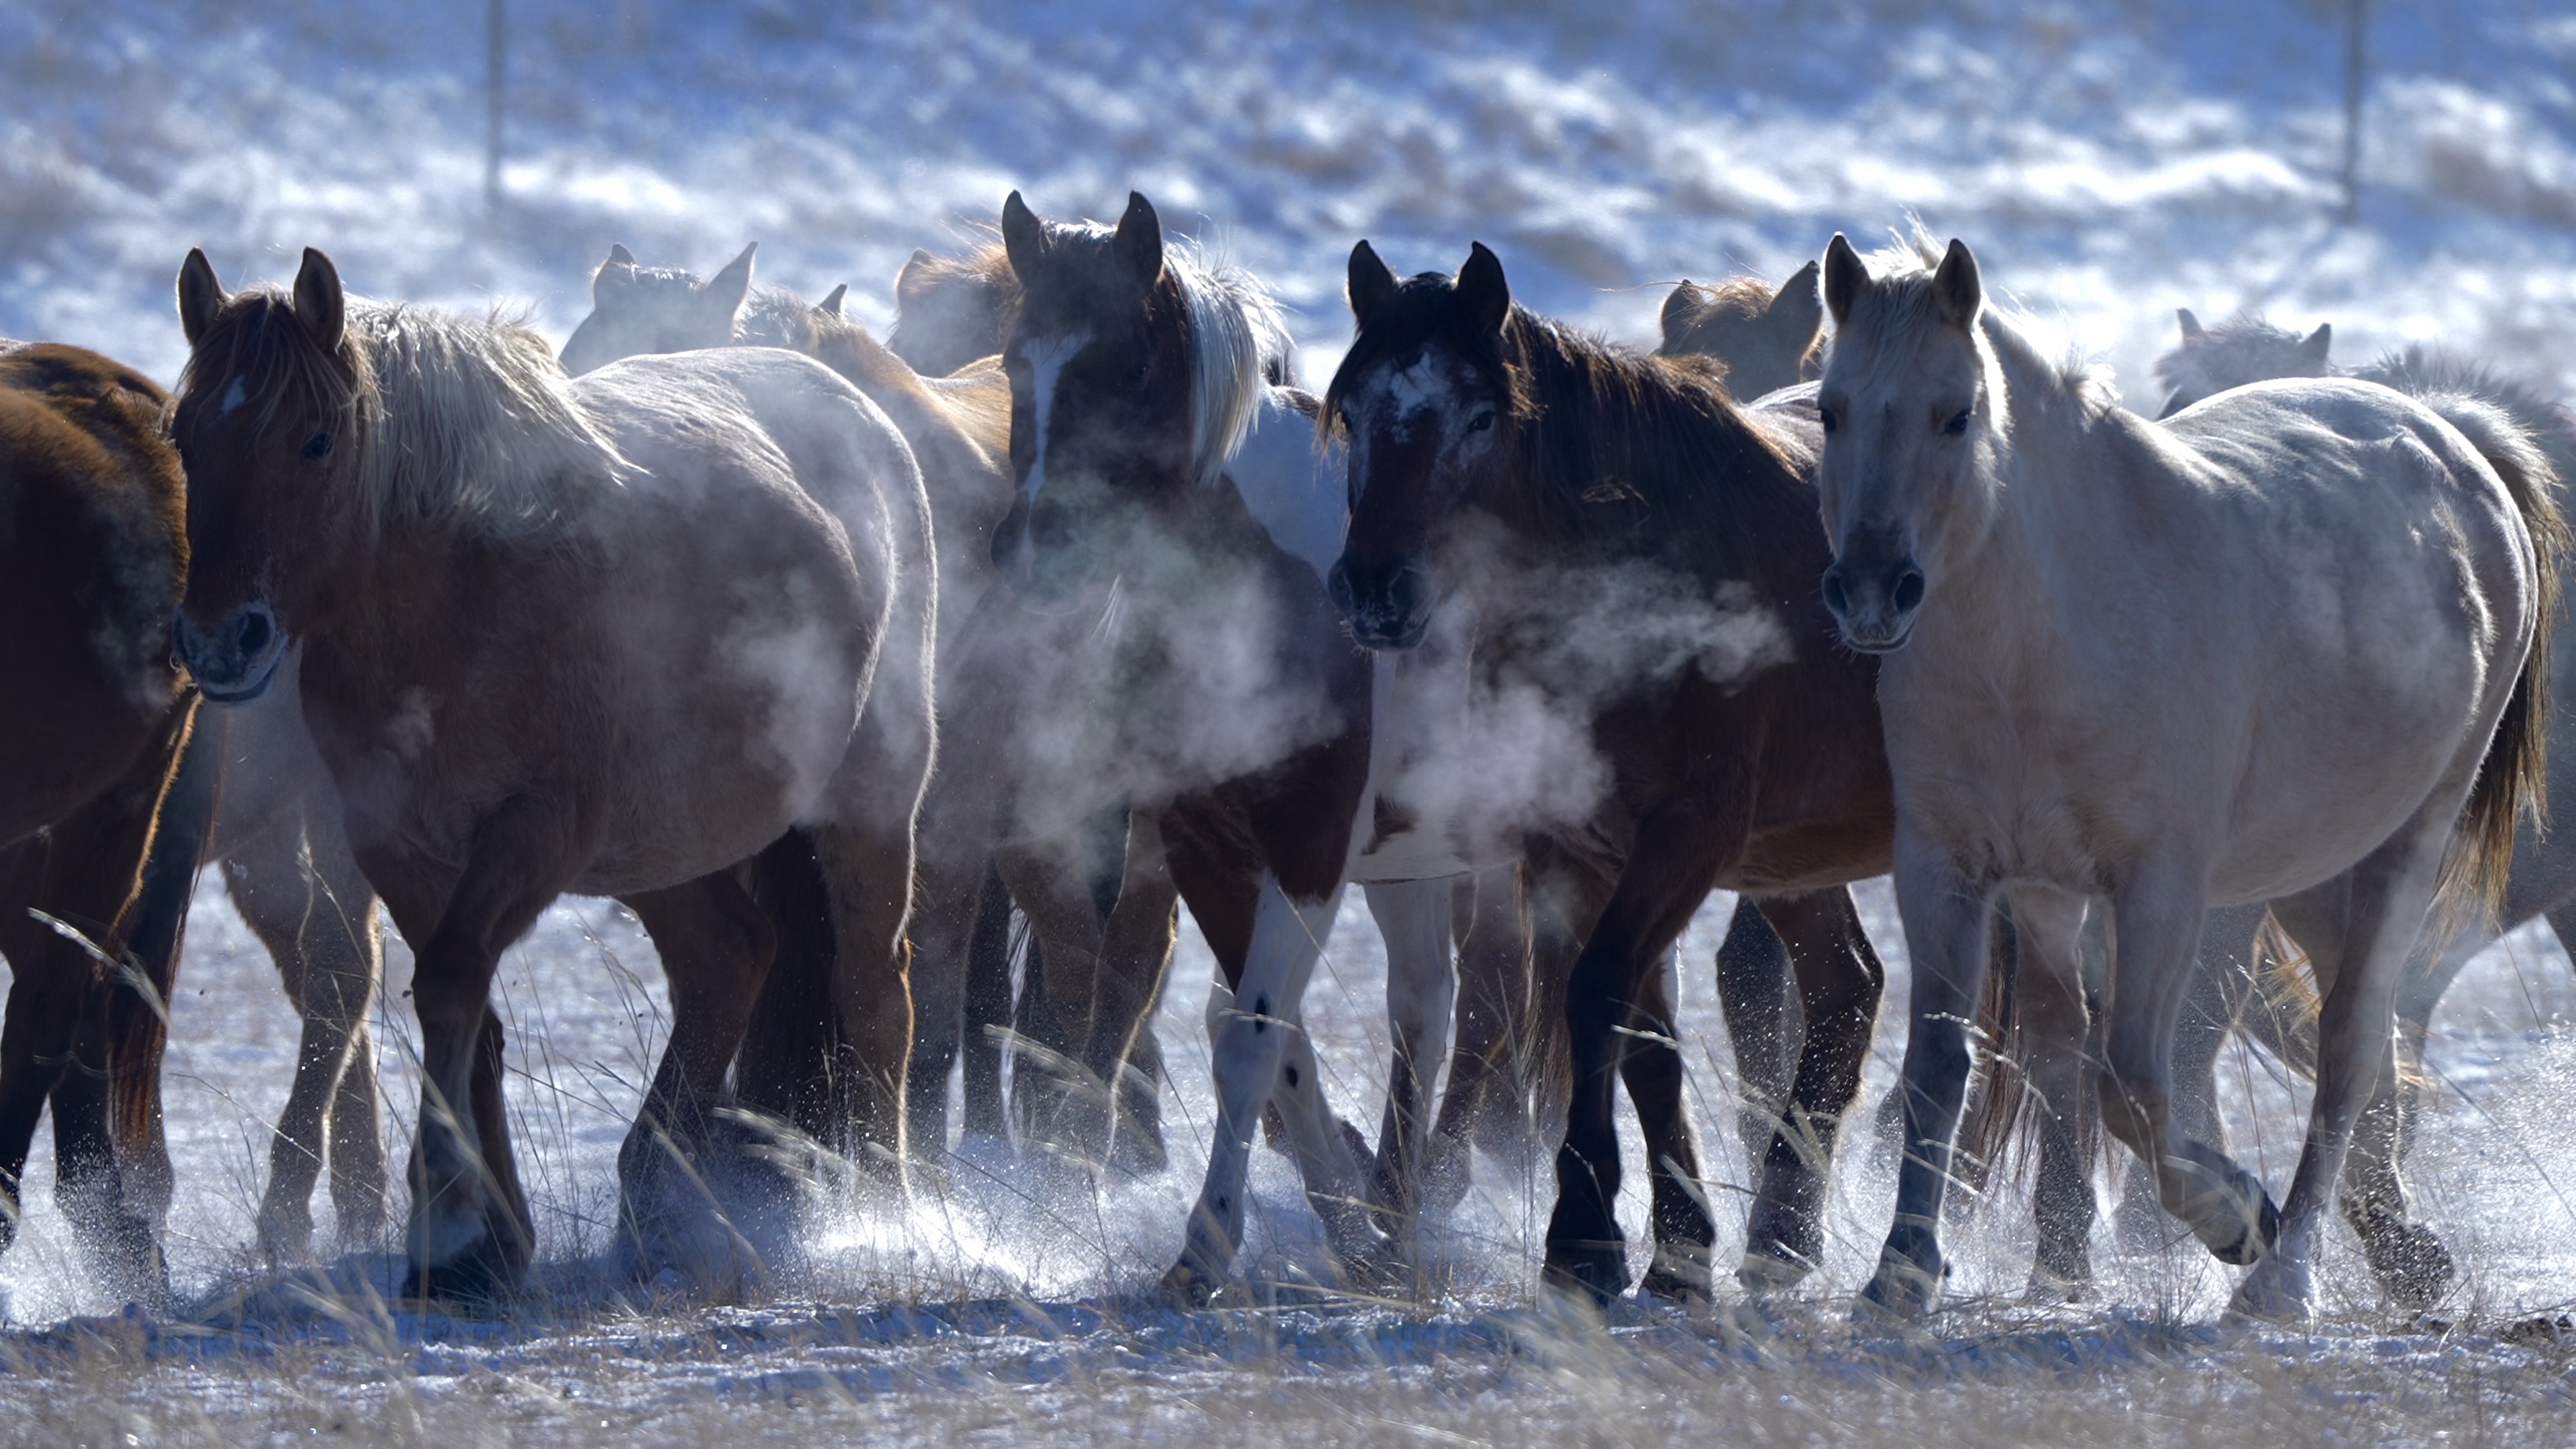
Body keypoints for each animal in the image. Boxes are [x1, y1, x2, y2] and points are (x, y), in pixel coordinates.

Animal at [169, 248, 936, 1300]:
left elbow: (453, 983)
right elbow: (467, 1009)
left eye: (314, 442)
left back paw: (887, 1212)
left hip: (868, 804)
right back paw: (652, 1196)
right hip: (664, 844)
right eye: (185, 438)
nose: (220, 639)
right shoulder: (399, 843)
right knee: (728, 956)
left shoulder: (530, 830)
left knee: (872, 990)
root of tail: (861, 415)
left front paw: (450, 1231)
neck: (457, 593)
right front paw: (490, 1239)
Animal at [1815, 231, 2558, 1321]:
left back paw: (2284, 1277)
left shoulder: (2162, 884)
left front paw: (2234, 1216)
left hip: (2400, 848)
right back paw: (2397, 1255)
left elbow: (2131, 1079)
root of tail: (2452, 437)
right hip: (2306, 874)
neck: (2045, 633)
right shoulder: (1964, 871)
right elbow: (1951, 1064)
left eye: (1955, 413)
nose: (1872, 588)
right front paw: (1902, 1271)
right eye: (1831, 407)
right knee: (2364, 1055)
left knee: (2347, 1045)